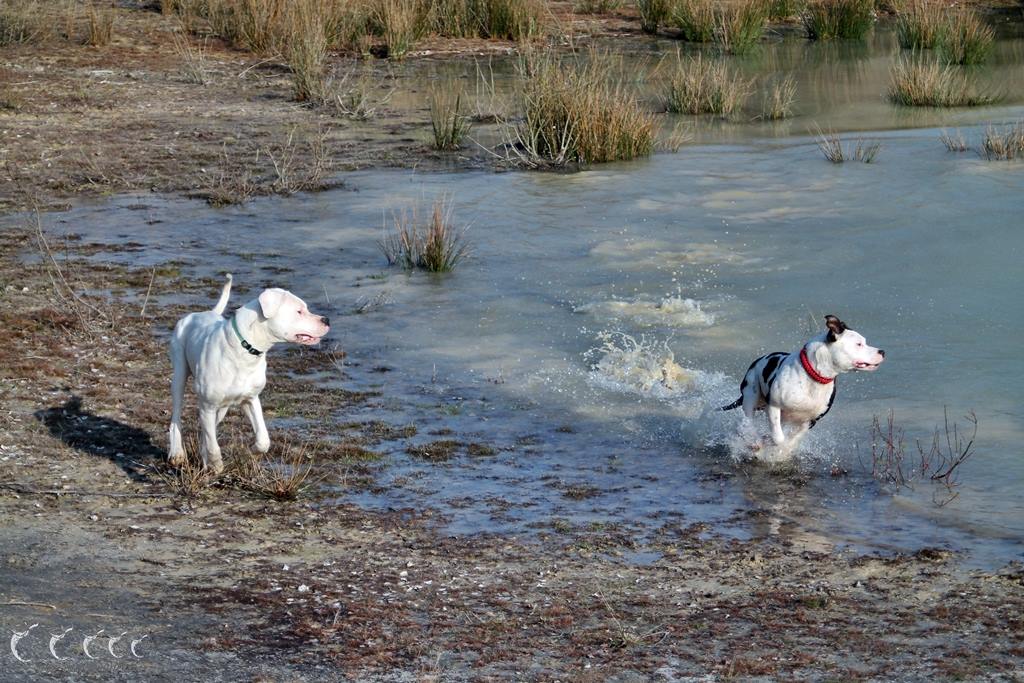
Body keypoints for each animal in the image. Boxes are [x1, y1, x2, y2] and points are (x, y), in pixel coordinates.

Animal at [166, 274, 327, 473]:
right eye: (299, 311)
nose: (326, 320)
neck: (244, 350)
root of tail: (202, 313)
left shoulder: (250, 399)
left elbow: (263, 439)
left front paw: (250, 452)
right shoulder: (208, 405)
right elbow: (213, 445)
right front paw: (217, 465)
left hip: (222, 407)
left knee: (207, 429)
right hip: (180, 375)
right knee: (177, 418)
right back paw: (177, 453)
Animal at [724, 315, 884, 454]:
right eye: (859, 344)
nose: (882, 351)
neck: (815, 377)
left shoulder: (810, 421)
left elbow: (794, 439)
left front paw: (785, 449)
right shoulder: (774, 406)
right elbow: (778, 437)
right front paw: (772, 444)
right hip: (750, 394)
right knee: (749, 420)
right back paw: (753, 440)